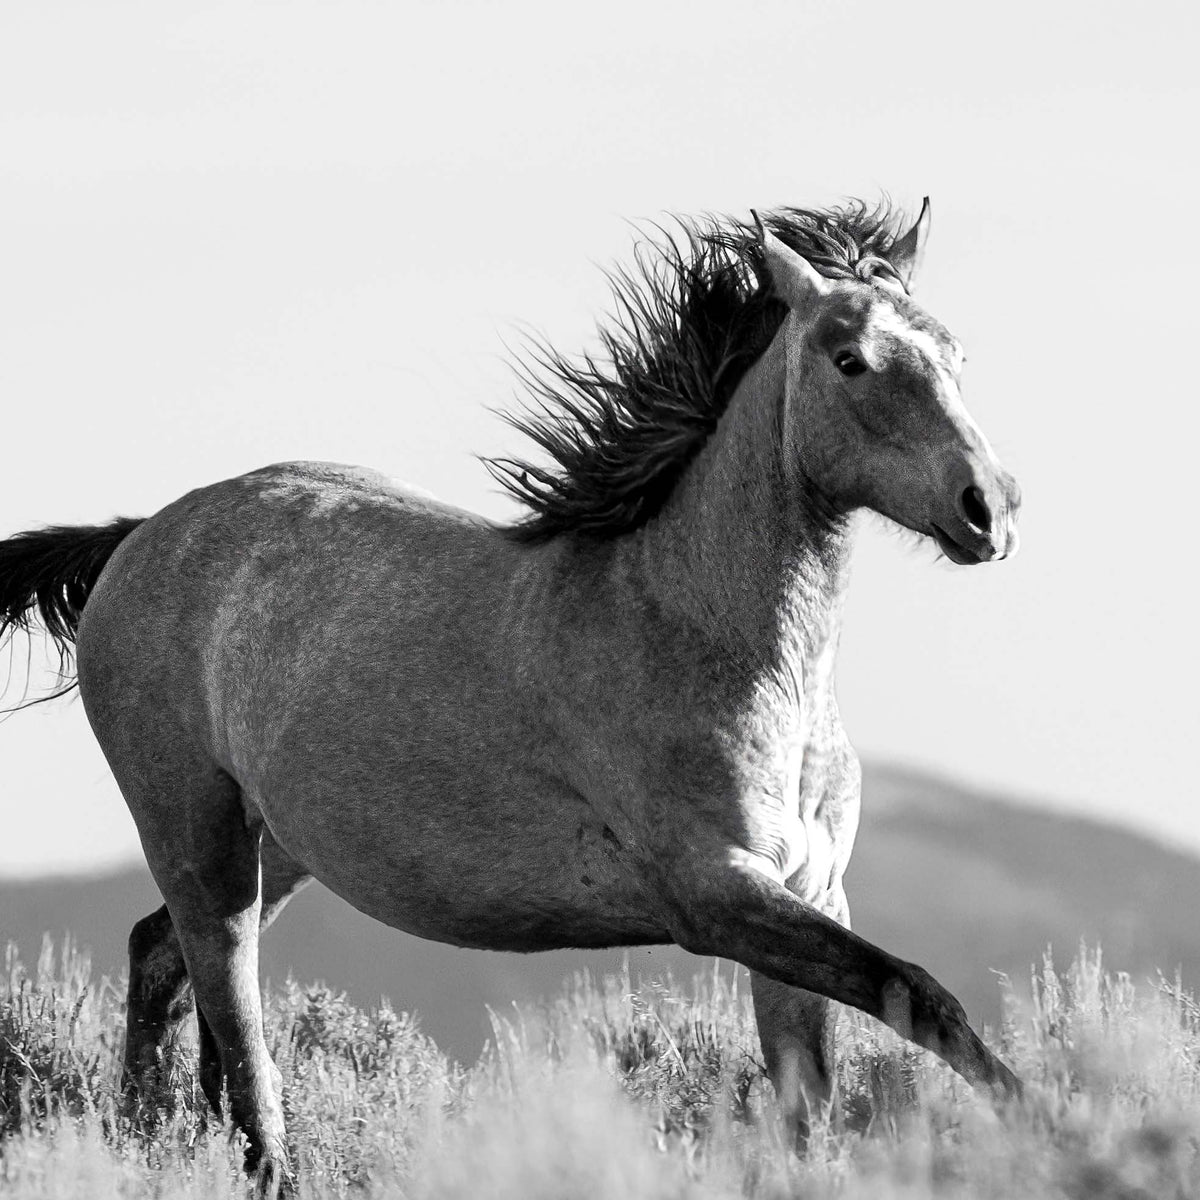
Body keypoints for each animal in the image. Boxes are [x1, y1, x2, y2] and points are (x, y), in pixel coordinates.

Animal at [0, 199, 1022, 1196]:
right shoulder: (719, 894)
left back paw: (140, 1142)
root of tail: (139, 536)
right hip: (193, 828)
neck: (701, 632)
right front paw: (1040, 1114)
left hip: (275, 845)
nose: (990, 509)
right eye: (850, 358)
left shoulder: (814, 893)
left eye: (956, 354)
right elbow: (922, 996)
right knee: (234, 1011)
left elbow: (815, 1095)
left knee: (162, 964)